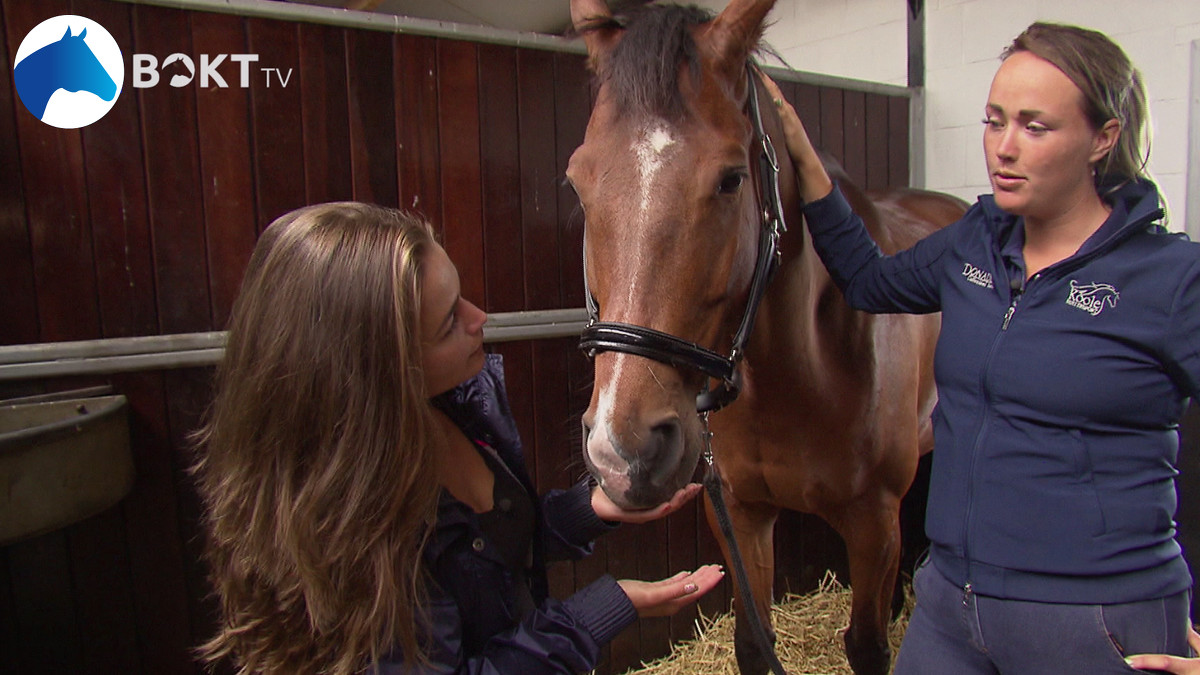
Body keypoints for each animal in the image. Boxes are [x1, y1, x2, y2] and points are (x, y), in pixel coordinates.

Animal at [565, 1, 967, 673]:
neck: (801, 375)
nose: (625, 452)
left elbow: (868, 644)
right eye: (576, 181)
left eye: (731, 178)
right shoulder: (740, 513)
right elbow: (755, 640)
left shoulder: (875, 521)